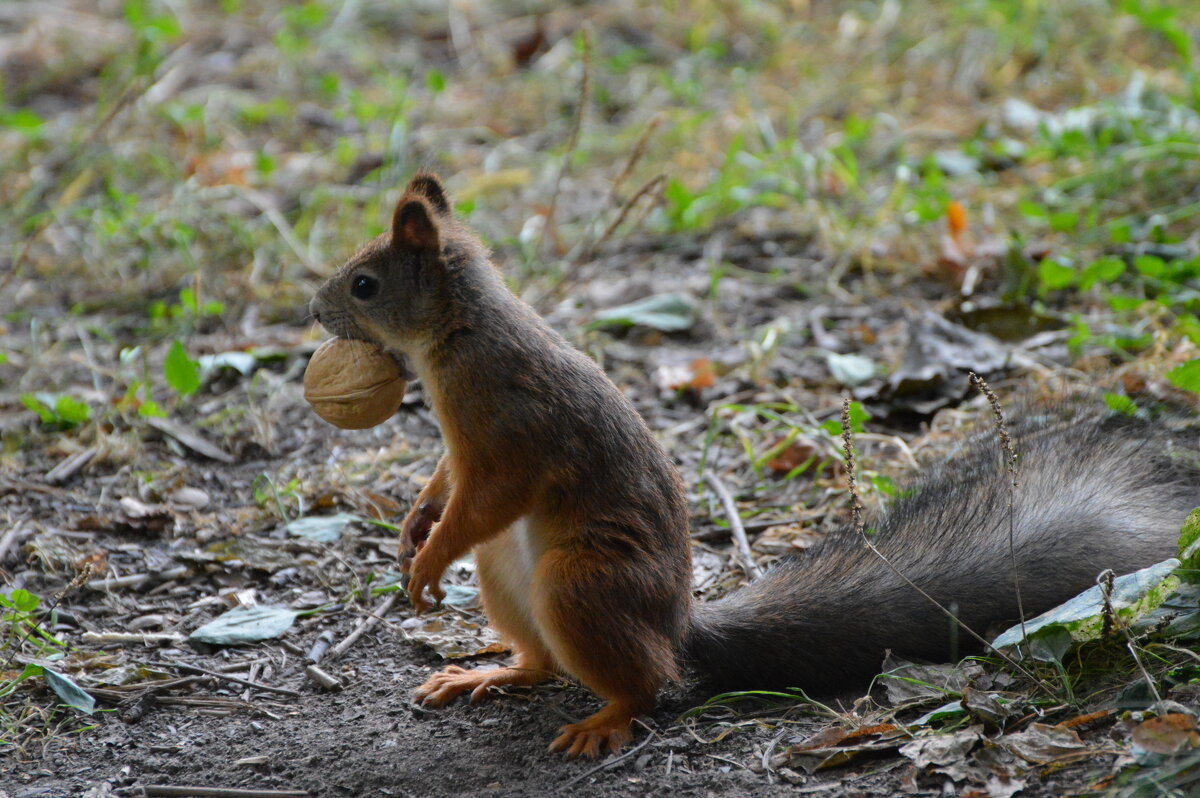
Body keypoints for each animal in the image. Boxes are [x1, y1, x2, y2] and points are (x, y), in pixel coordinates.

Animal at [309, 171, 1200, 758]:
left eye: (365, 284)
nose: (313, 311)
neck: (457, 333)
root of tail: (679, 622)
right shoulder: (466, 444)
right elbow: (445, 482)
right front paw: (416, 523)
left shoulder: (505, 421)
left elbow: (486, 495)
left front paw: (428, 558)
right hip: (510, 576)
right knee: (543, 661)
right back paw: (491, 675)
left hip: (582, 581)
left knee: (649, 680)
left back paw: (607, 719)